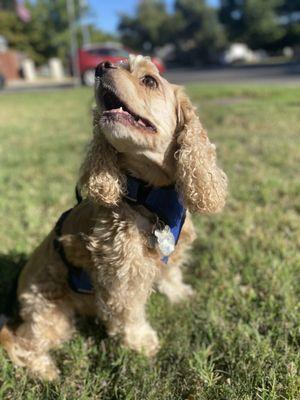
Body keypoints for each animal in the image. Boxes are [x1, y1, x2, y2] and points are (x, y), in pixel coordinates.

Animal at [0, 54, 226, 380]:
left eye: (149, 81)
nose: (102, 65)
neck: (149, 196)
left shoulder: (172, 249)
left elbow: (171, 272)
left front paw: (179, 293)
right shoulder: (122, 274)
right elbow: (129, 313)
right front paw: (142, 342)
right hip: (51, 312)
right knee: (20, 342)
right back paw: (46, 371)